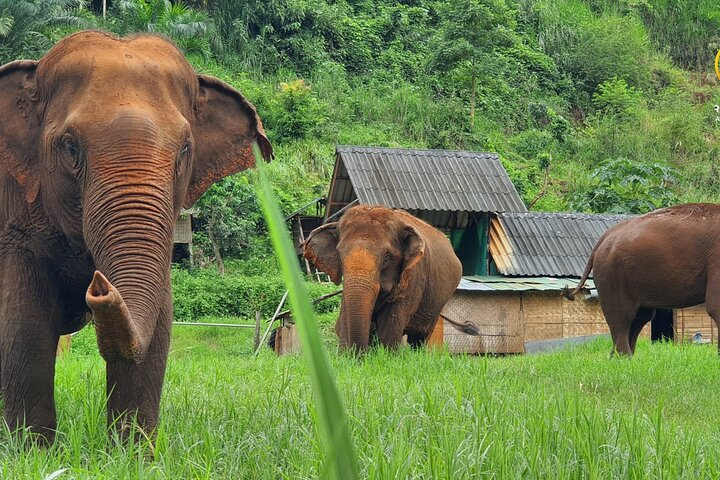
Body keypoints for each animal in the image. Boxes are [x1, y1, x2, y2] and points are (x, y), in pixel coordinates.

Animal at [0, 31, 272, 443]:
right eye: (70, 146)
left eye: (185, 149)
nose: (99, 286)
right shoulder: (15, 219)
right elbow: (23, 324)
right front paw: (34, 450)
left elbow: (159, 324)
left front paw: (131, 451)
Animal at [304, 205, 462, 351]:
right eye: (340, 254)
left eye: (387, 256)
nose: (360, 356)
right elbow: (345, 313)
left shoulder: (414, 276)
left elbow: (390, 325)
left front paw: (387, 355)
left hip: (438, 302)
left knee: (419, 337)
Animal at [567, 203, 720, 356]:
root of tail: (603, 238)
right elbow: (715, 307)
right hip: (612, 275)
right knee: (622, 318)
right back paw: (623, 357)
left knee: (639, 319)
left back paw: (620, 358)